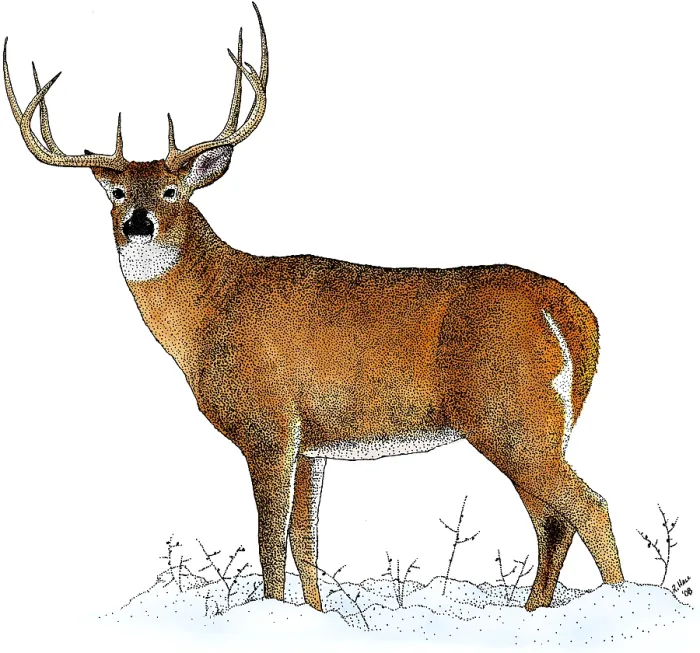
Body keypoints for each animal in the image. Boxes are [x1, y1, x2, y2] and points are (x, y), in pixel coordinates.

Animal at [4, 4, 624, 614]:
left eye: (172, 191)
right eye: (117, 193)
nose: (138, 222)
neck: (212, 310)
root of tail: (572, 311)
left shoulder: (270, 423)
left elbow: (268, 538)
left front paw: (271, 613)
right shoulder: (312, 443)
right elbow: (305, 539)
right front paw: (315, 615)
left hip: (510, 415)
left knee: (588, 507)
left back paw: (616, 605)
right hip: (537, 426)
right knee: (553, 521)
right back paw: (537, 612)